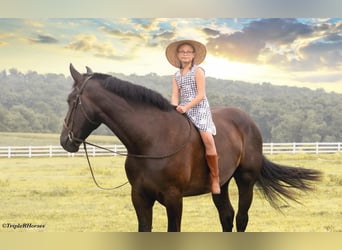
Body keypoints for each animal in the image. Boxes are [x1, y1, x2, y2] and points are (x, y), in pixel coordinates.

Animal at [60, 65, 320, 232]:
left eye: (71, 100)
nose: (65, 140)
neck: (151, 141)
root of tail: (248, 121)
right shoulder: (140, 197)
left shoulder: (174, 199)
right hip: (221, 185)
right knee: (227, 217)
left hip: (246, 180)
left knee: (241, 219)